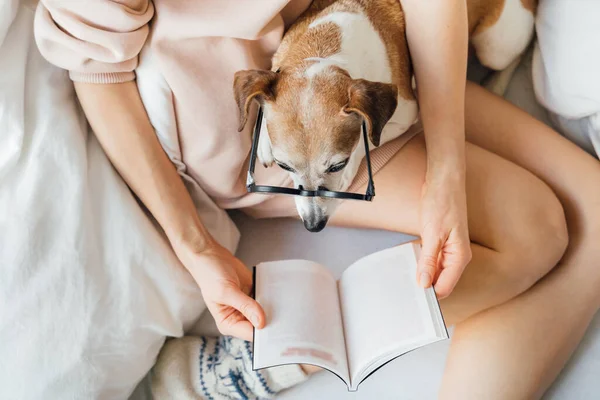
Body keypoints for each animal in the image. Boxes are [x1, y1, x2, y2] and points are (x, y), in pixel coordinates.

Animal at [233, 0, 536, 231]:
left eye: (337, 165)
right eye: (284, 166)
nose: (313, 225)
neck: (327, 50)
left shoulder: (406, 114)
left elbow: (368, 135)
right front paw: (264, 141)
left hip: (494, 46)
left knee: (519, 52)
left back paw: (496, 83)